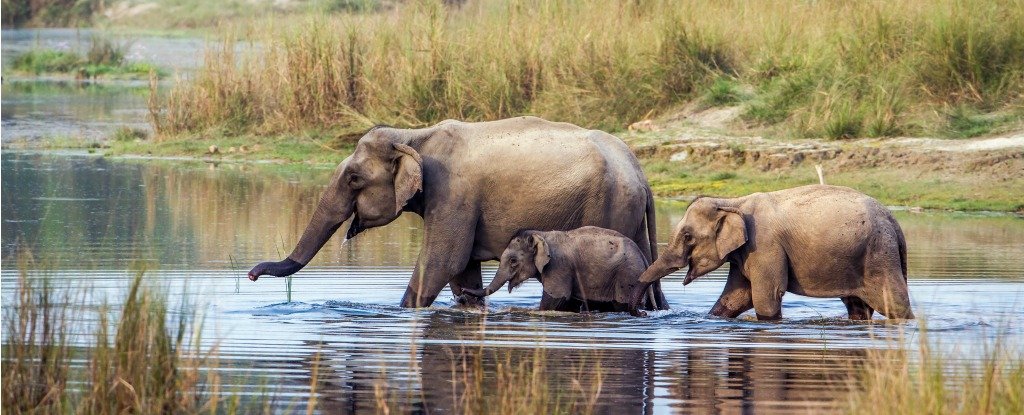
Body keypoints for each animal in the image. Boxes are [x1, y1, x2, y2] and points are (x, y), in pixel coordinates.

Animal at [462, 226, 653, 313]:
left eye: (513, 261)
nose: (463, 292)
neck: (542, 234)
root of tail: (643, 257)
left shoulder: (559, 267)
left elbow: (555, 299)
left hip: (627, 275)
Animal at [629, 184, 914, 321]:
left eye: (688, 236)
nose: (643, 313)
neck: (733, 202)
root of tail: (894, 222)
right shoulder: (745, 252)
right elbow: (736, 297)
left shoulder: (765, 245)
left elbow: (766, 295)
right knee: (858, 306)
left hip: (879, 254)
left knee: (894, 302)